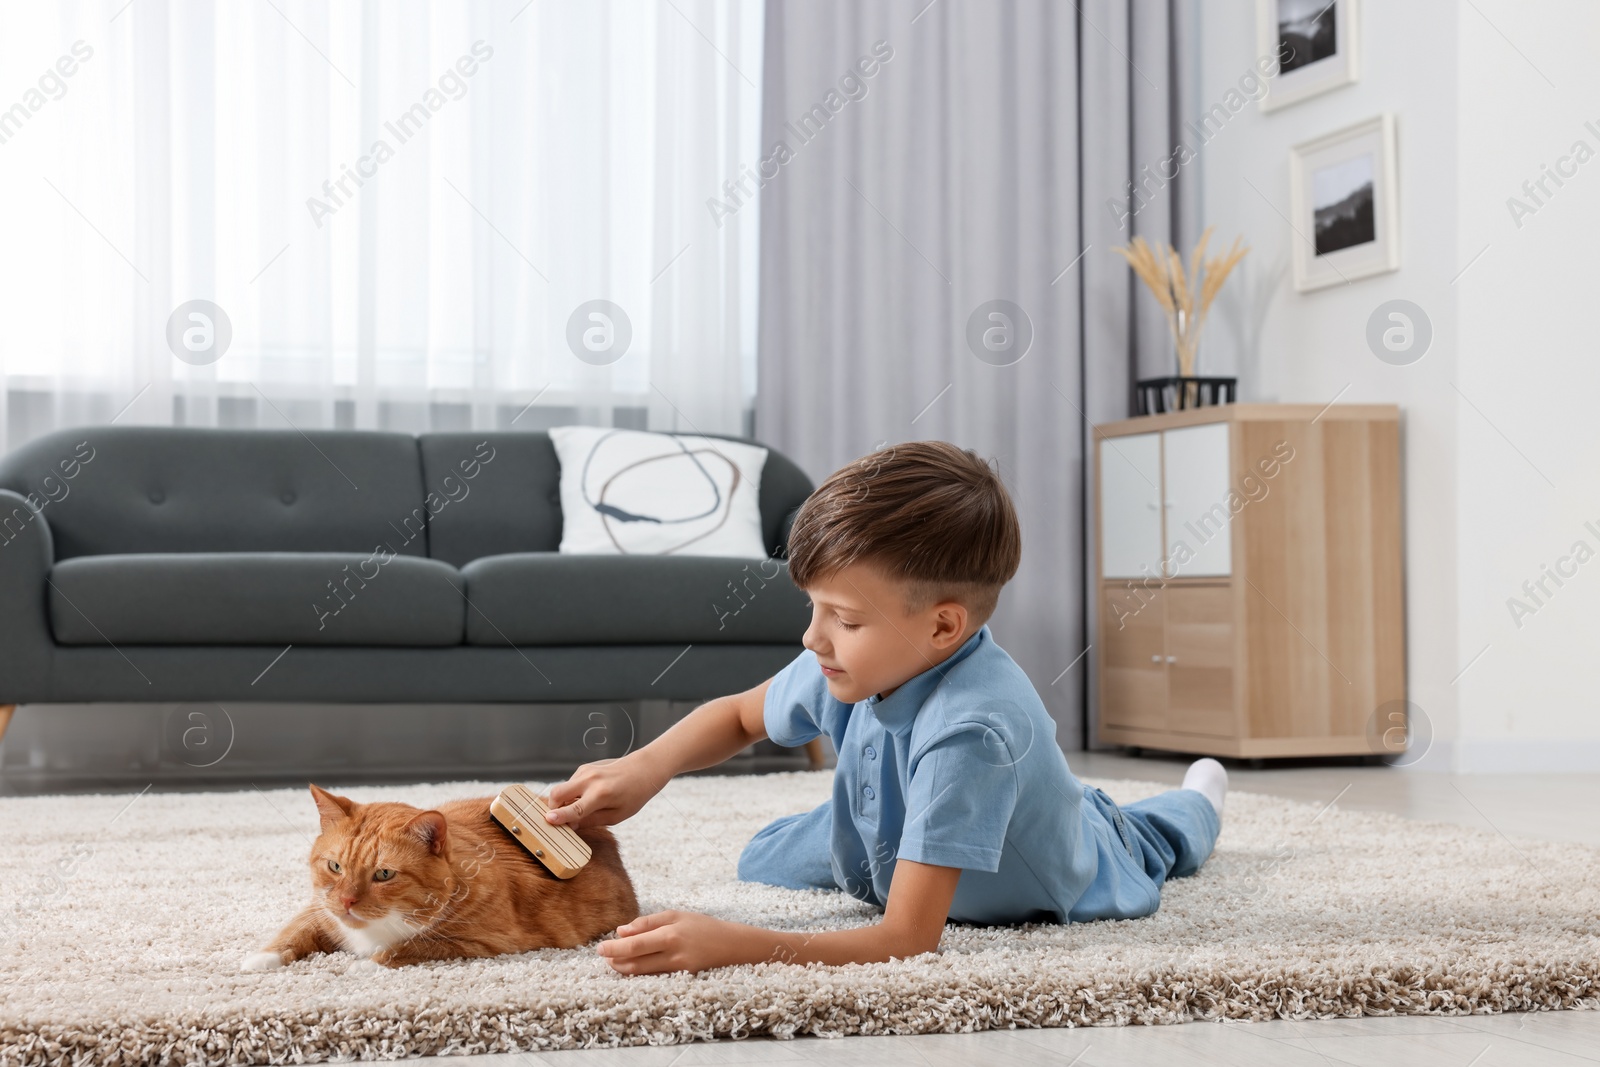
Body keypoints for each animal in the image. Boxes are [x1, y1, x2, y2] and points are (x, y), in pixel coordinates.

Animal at [238, 783, 636, 966]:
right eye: (335, 866)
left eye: (384, 874)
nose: (347, 901)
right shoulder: (321, 909)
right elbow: (293, 930)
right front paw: (261, 958)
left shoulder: (482, 943)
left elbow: (397, 951)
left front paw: (364, 965)